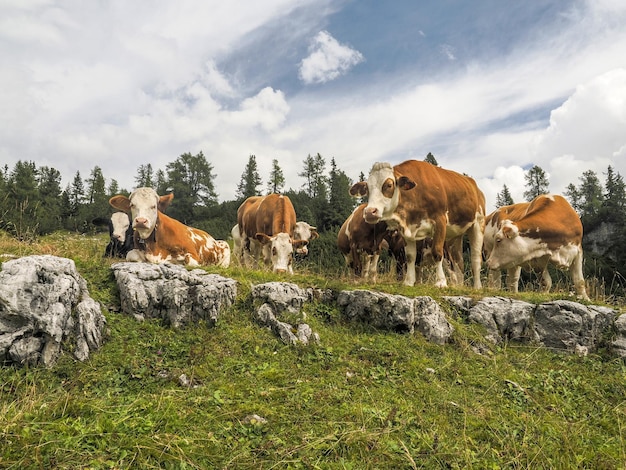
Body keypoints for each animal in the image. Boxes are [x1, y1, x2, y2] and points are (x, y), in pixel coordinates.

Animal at [348, 160, 486, 288]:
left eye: (389, 185)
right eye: (367, 188)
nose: (370, 212)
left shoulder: (440, 222)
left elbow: (437, 252)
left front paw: (440, 282)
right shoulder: (406, 229)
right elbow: (410, 256)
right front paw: (408, 282)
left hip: (478, 224)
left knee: (475, 259)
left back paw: (477, 287)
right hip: (454, 235)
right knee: (458, 262)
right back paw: (459, 286)